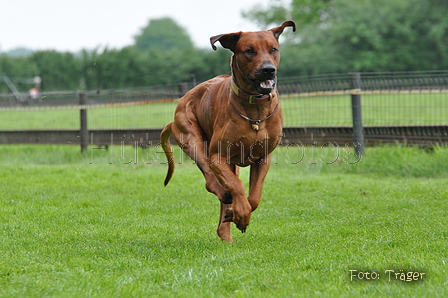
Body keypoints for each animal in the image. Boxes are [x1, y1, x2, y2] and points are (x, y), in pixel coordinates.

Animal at [160, 21, 294, 241]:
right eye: (249, 51)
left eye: (273, 49)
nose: (268, 70)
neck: (254, 109)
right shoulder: (218, 157)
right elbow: (237, 186)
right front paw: (241, 214)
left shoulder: (263, 157)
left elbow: (254, 197)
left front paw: (240, 213)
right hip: (191, 137)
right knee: (212, 181)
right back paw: (226, 198)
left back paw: (227, 228)